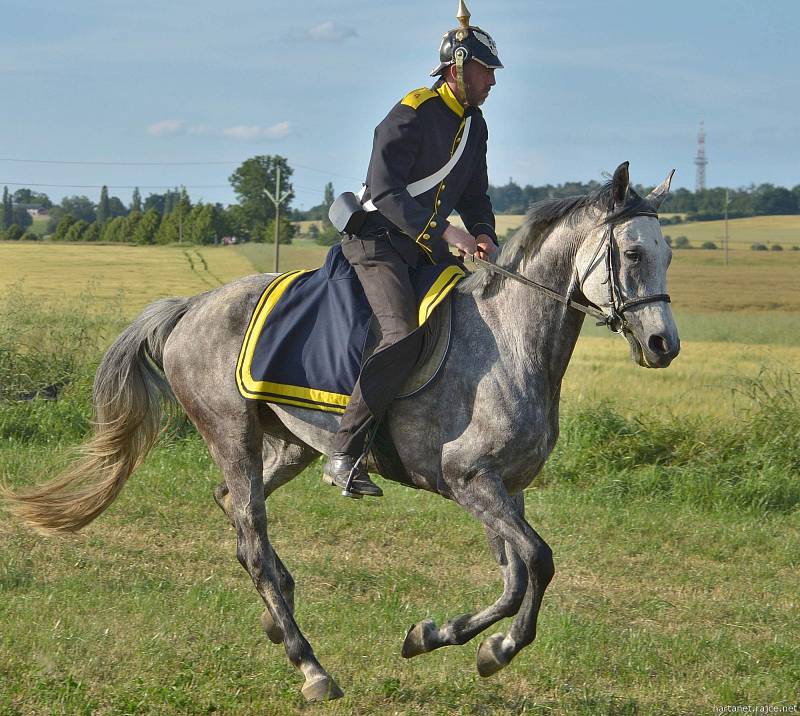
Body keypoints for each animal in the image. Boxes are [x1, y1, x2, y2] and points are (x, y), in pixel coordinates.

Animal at [4, 161, 680, 700]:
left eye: (668, 255)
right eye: (633, 254)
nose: (662, 345)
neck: (514, 339)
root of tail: (191, 306)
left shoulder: (502, 491)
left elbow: (517, 577)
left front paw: (445, 639)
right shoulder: (469, 480)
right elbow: (537, 562)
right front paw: (482, 647)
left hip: (289, 445)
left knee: (234, 513)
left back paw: (278, 619)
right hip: (230, 433)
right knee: (252, 537)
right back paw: (310, 666)